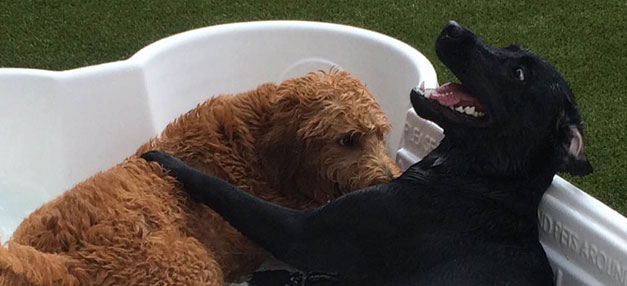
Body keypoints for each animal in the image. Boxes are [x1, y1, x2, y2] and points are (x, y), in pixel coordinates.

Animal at [141, 21, 592, 284]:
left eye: (518, 74)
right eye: (511, 48)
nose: (451, 27)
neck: (479, 181)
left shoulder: (303, 233)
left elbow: (222, 189)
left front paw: (165, 160)